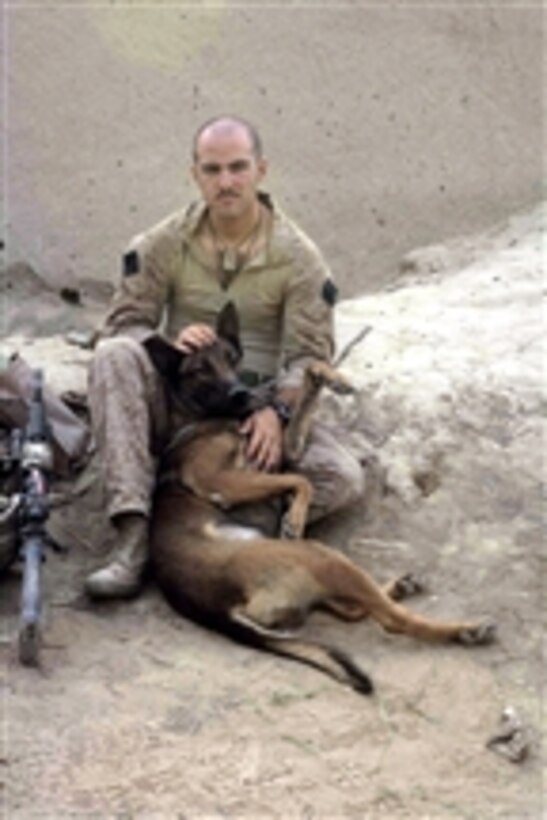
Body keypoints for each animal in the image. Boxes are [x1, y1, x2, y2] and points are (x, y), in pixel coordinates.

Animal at [146, 304, 496, 696]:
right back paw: (463, 630)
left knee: (356, 611)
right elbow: (298, 480)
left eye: (231, 358)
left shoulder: (285, 450)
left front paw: (330, 376)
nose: (243, 394)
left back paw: (399, 587)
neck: (210, 416)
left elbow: (308, 386)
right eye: (200, 370)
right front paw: (294, 517)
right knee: (390, 620)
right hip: (320, 556)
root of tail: (218, 610)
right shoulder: (219, 480)